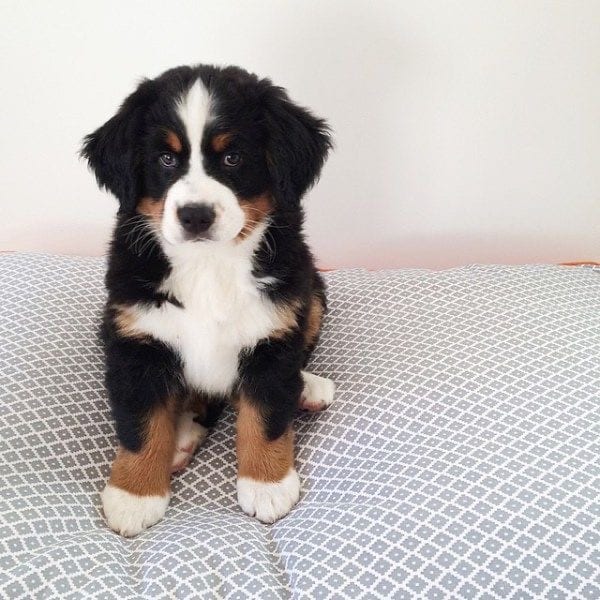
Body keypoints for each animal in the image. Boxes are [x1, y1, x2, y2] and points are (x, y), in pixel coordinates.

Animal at [80, 64, 336, 536]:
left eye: (233, 158)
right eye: (166, 159)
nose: (195, 215)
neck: (208, 265)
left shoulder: (273, 333)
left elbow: (266, 414)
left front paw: (267, 484)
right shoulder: (137, 342)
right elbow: (141, 423)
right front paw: (134, 494)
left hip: (311, 295)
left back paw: (307, 389)